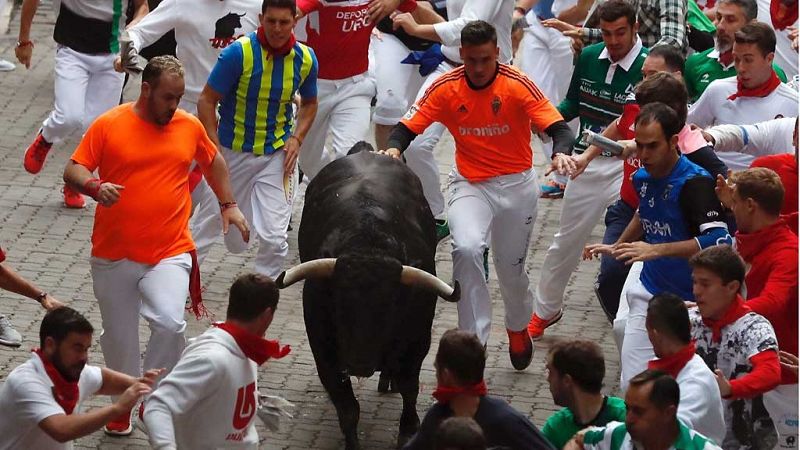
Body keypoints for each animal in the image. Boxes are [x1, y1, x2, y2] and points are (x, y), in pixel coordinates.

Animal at [278, 146, 460, 448]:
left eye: (390, 307)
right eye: (339, 305)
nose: (359, 364)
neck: (368, 243)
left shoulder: (417, 340)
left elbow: (409, 387)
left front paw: (407, 430)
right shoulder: (322, 347)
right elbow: (347, 406)